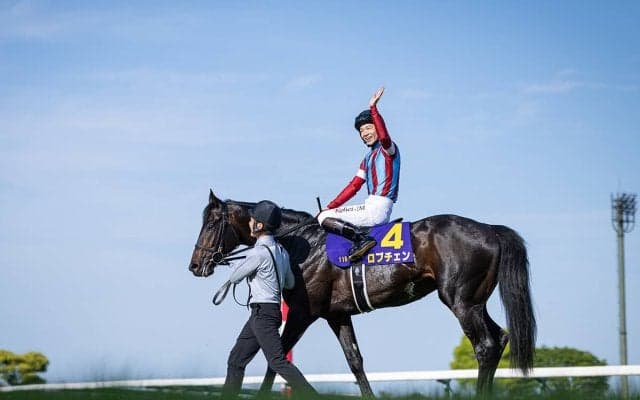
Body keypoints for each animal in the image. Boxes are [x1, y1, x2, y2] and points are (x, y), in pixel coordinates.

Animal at [189, 190, 536, 397]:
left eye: (211, 223)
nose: (195, 265)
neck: (301, 243)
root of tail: (490, 229)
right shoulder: (337, 315)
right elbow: (355, 361)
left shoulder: (303, 313)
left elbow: (276, 362)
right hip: (475, 302)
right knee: (499, 339)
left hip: (460, 301)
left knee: (486, 346)